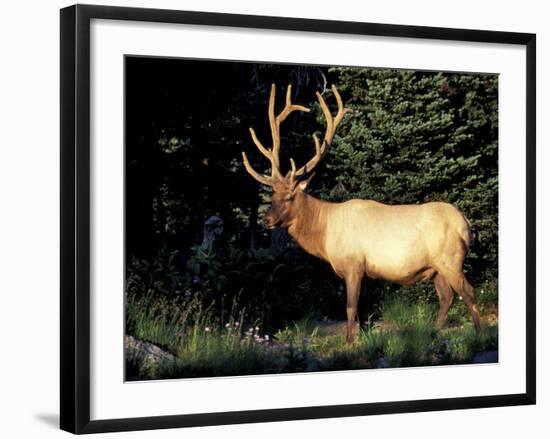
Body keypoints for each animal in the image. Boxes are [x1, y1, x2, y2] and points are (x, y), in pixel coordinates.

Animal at [242, 83, 484, 344]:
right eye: (272, 195)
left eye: (288, 197)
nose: (265, 220)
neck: (325, 235)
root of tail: (466, 224)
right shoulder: (366, 272)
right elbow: (364, 312)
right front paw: (364, 340)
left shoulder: (354, 264)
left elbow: (350, 307)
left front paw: (349, 342)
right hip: (436, 268)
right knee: (446, 297)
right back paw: (433, 332)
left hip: (451, 258)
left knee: (468, 292)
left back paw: (479, 333)